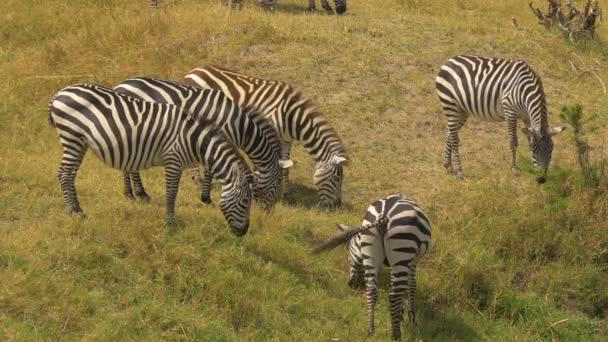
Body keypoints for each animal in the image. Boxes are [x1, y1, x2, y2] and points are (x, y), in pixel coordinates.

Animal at [48, 83, 254, 236]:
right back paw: (73, 212)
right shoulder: (173, 160)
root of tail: (59, 93)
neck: (192, 139)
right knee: (64, 173)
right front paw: (170, 223)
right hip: (71, 136)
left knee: (70, 174)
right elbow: (171, 193)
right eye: (245, 202)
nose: (243, 232)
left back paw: (78, 209)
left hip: (79, 141)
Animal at [113, 77, 290, 208]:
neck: (236, 124)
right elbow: (212, 170)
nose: (270, 209)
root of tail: (118, 86)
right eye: (278, 181)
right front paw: (207, 198)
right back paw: (139, 194)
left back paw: (131, 193)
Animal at [184, 64, 346, 208]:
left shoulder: (286, 141)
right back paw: (198, 182)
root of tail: (194, 71)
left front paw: (286, 196)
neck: (292, 117)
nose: (337, 206)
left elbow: (285, 168)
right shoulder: (267, 133)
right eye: (337, 179)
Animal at [314, 192, 432, 340]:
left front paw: (400, 314)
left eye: (348, 251)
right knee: (393, 295)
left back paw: (370, 330)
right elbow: (411, 286)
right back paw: (396, 334)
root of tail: (383, 215)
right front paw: (411, 318)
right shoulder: (412, 262)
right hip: (402, 249)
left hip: (371, 253)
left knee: (371, 290)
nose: (351, 285)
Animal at [434, 54, 564, 180]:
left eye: (551, 149)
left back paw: (448, 165)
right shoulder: (510, 112)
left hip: (462, 111)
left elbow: (529, 138)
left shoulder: (526, 116)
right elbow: (513, 141)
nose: (541, 179)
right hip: (450, 104)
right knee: (454, 138)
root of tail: (449, 61)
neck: (526, 90)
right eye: (534, 149)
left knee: (449, 132)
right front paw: (514, 169)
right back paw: (459, 171)